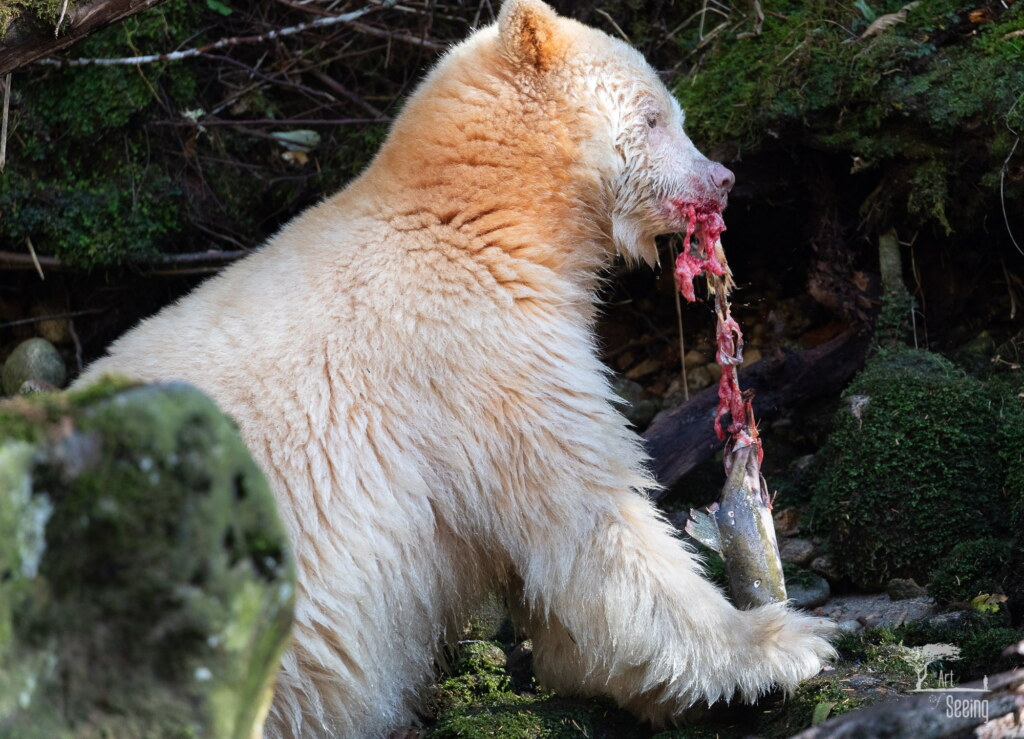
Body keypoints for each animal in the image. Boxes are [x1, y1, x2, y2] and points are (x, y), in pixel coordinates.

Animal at [77, 1, 836, 736]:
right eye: (655, 116)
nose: (723, 178)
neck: (472, 219)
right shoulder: (479, 356)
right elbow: (591, 521)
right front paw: (779, 642)